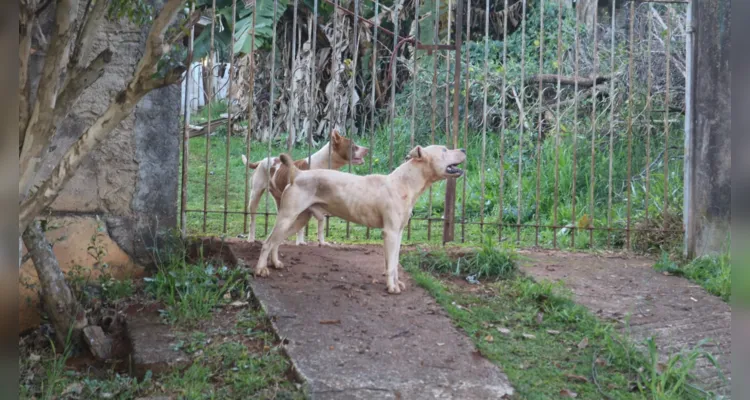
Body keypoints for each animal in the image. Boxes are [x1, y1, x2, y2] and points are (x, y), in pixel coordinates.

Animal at [254, 145, 464, 294]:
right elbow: (391, 264)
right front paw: (392, 287)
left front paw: (395, 282)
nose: (463, 149)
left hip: (298, 220)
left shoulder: (398, 233)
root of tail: (298, 173)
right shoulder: (390, 233)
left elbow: (394, 262)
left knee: (276, 242)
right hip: (287, 217)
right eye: (444, 150)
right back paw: (261, 270)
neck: (404, 183)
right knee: (267, 242)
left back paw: (275, 263)